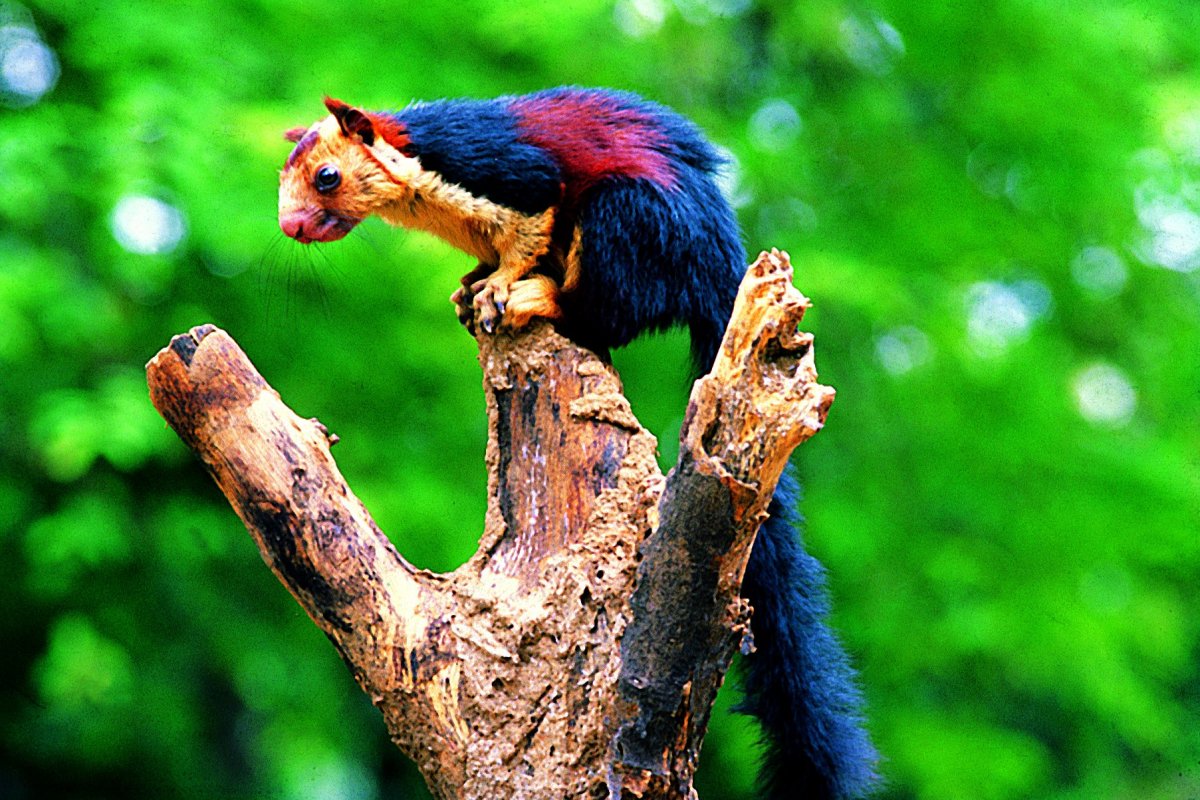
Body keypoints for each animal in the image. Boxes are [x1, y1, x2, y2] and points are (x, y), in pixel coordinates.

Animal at [278, 86, 879, 800]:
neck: (420, 193)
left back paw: (536, 299)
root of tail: (719, 261)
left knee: (602, 312)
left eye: (327, 176)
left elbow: (527, 230)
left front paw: (500, 284)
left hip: (625, 220)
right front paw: (470, 281)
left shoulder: (507, 174)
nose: (291, 227)